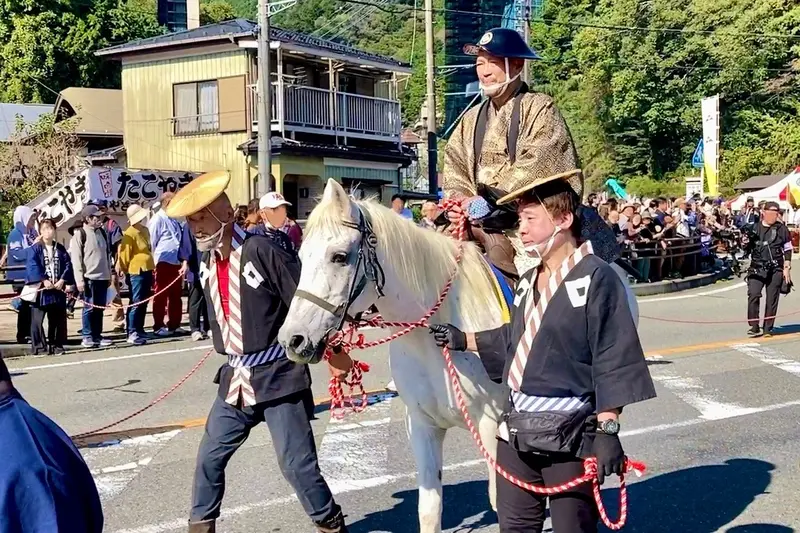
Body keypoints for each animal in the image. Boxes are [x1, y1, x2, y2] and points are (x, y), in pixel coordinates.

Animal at [278, 180, 640, 532]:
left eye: (339, 257)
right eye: (301, 255)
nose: (292, 339)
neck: (430, 341)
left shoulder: (492, 426)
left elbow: (500, 500)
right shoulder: (421, 425)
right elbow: (429, 510)